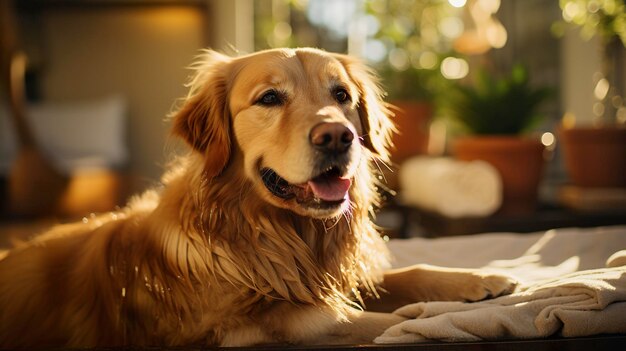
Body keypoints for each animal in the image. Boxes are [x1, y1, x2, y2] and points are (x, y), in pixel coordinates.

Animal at [0, 48, 516, 348]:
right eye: (269, 98)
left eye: (342, 95)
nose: (339, 136)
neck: (268, 232)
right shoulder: (270, 328)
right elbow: (390, 323)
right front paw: (451, 316)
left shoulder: (317, 279)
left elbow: (407, 275)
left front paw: (482, 282)